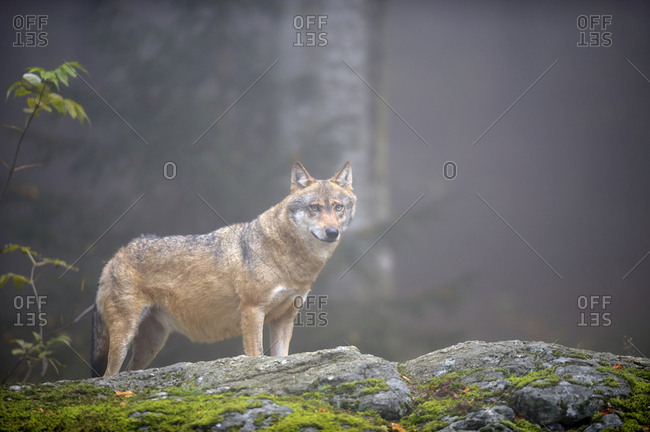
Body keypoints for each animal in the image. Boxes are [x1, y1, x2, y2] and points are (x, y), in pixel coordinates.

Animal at [91, 161, 355, 377]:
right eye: (315, 208)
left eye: (338, 207)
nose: (332, 232)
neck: (291, 260)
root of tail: (114, 257)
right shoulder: (252, 311)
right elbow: (256, 356)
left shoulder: (284, 318)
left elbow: (281, 358)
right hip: (124, 337)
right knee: (108, 376)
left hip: (151, 345)